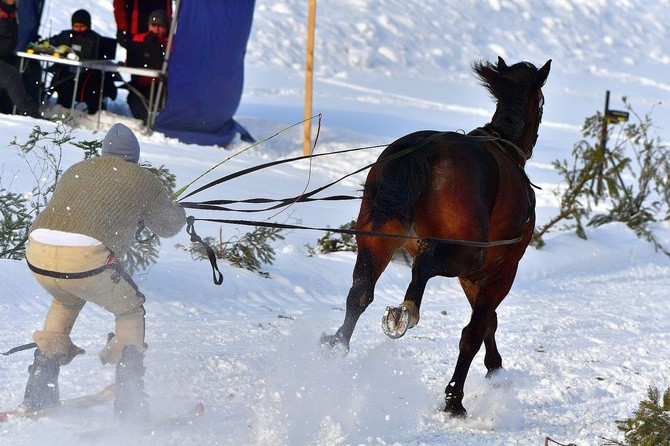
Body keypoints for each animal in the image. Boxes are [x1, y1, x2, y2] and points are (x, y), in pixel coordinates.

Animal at [322, 57, 552, 416]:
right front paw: (457, 396)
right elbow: (476, 329)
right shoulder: (499, 270)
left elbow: (487, 322)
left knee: (359, 294)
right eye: (540, 105)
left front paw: (494, 368)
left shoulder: (474, 276)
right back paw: (408, 313)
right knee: (425, 262)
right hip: (464, 252)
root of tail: (426, 149)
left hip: (376, 242)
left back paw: (337, 347)